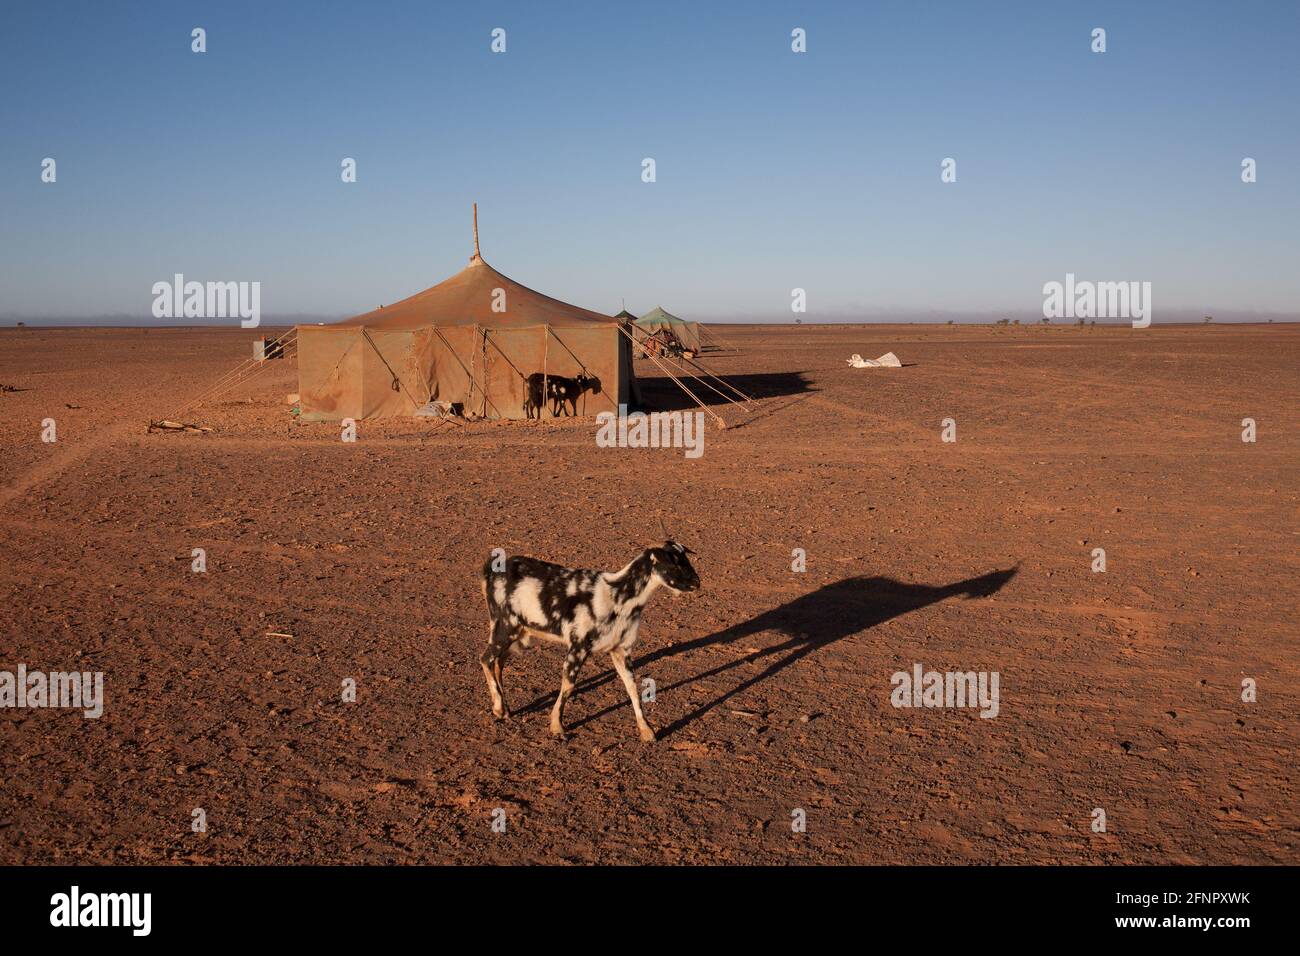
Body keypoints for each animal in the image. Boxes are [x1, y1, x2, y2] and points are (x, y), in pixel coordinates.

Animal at [480, 538, 702, 738]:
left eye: (685, 558)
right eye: (674, 563)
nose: (697, 583)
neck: (617, 596)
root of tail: (491, 571)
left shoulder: (621, 650)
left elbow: (632, 687)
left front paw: (647, 731)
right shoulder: (578, 646)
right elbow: (569, 685)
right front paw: (557, 726)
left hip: (518, 633)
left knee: (498, 662)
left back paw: (505, 709)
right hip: (504, 627)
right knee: (486, 659)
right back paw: (499, 708)